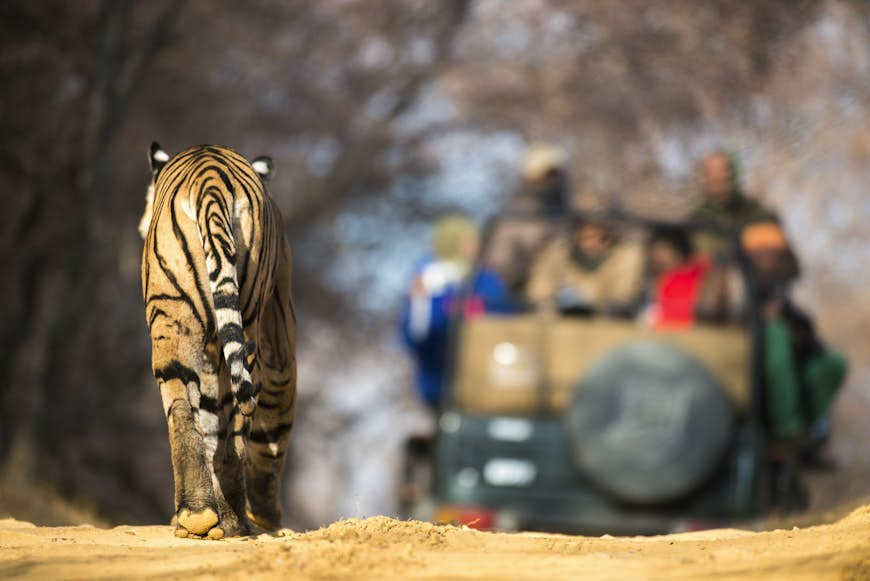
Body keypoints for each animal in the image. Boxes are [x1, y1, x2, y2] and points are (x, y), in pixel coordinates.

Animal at [139, 142, 296, 540]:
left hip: (178, 317)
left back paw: (210, 516)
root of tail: (209, 176)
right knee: (228, 414)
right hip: (216, 323)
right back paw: (216, 516)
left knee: (199, 411)